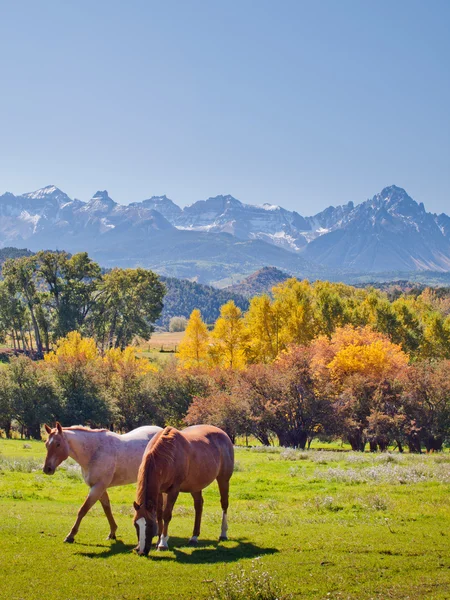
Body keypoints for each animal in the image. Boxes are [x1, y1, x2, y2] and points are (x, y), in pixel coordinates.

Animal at [132, 424, 234, 556]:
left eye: (149, 525)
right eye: (135, 524)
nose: (141, 551)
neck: (167, 455)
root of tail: (224, 434)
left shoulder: (174, 490)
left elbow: (166, 515)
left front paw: (162, 543)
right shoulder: (159, 491)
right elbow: (159, 515)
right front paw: (159, 540)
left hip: (223, 479)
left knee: (224, 504)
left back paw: (223, 534)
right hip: (195, 485)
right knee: (198, 506)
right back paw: (194, 537)